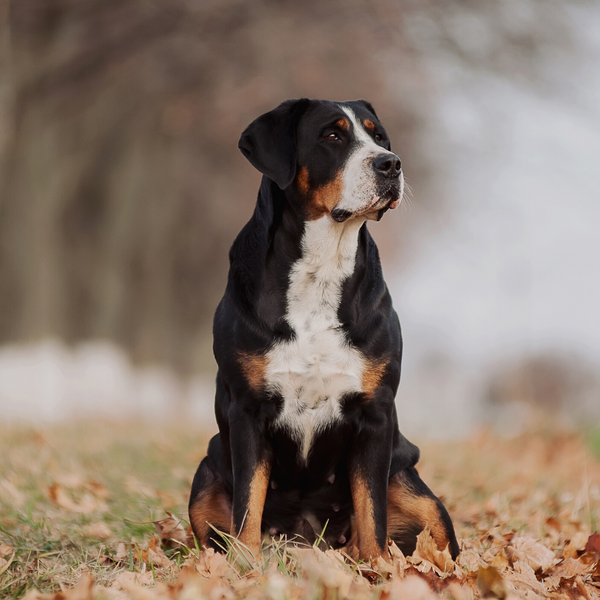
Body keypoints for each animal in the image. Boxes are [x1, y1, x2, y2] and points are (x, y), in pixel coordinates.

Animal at [189, 98, 460, 564]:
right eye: (332, 136)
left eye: (379, 136)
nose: (391, 164)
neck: (323, 267)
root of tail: (305, 537)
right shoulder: (246, 410)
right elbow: (248, 504)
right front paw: (246, 567)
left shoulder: (376, 413)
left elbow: (372, 512)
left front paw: (378, 569)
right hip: (206, 471)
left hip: (414, 485)